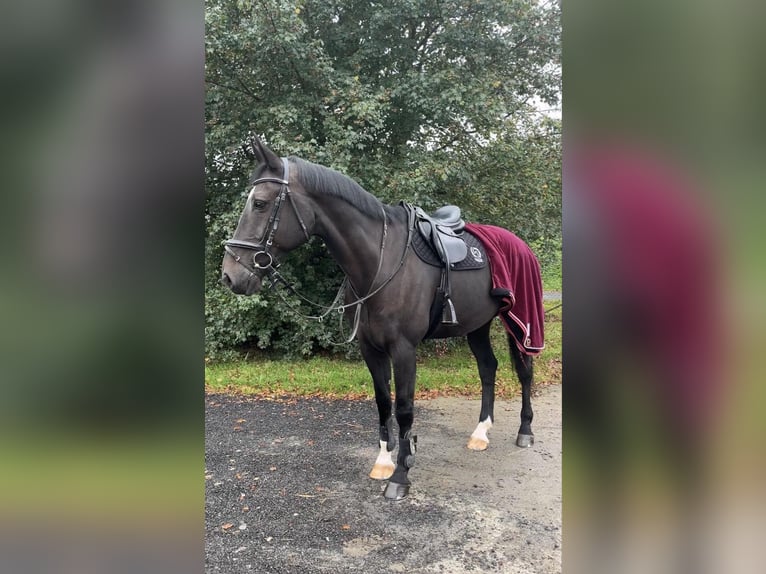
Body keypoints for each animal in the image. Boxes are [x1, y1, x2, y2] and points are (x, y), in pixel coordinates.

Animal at [222, 137, 540, 502]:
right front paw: (384, 462)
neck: (379, 261)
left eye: (260, 203)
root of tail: (521, 244)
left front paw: (401, 475)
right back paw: (481, 432)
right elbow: (382, 402)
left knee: (524, 371)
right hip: (477, 325)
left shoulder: (403, 349)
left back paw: (525, 430)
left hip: (520, 321)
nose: (230, 276)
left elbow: (403, 408)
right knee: (488, 368)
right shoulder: (370, 348)